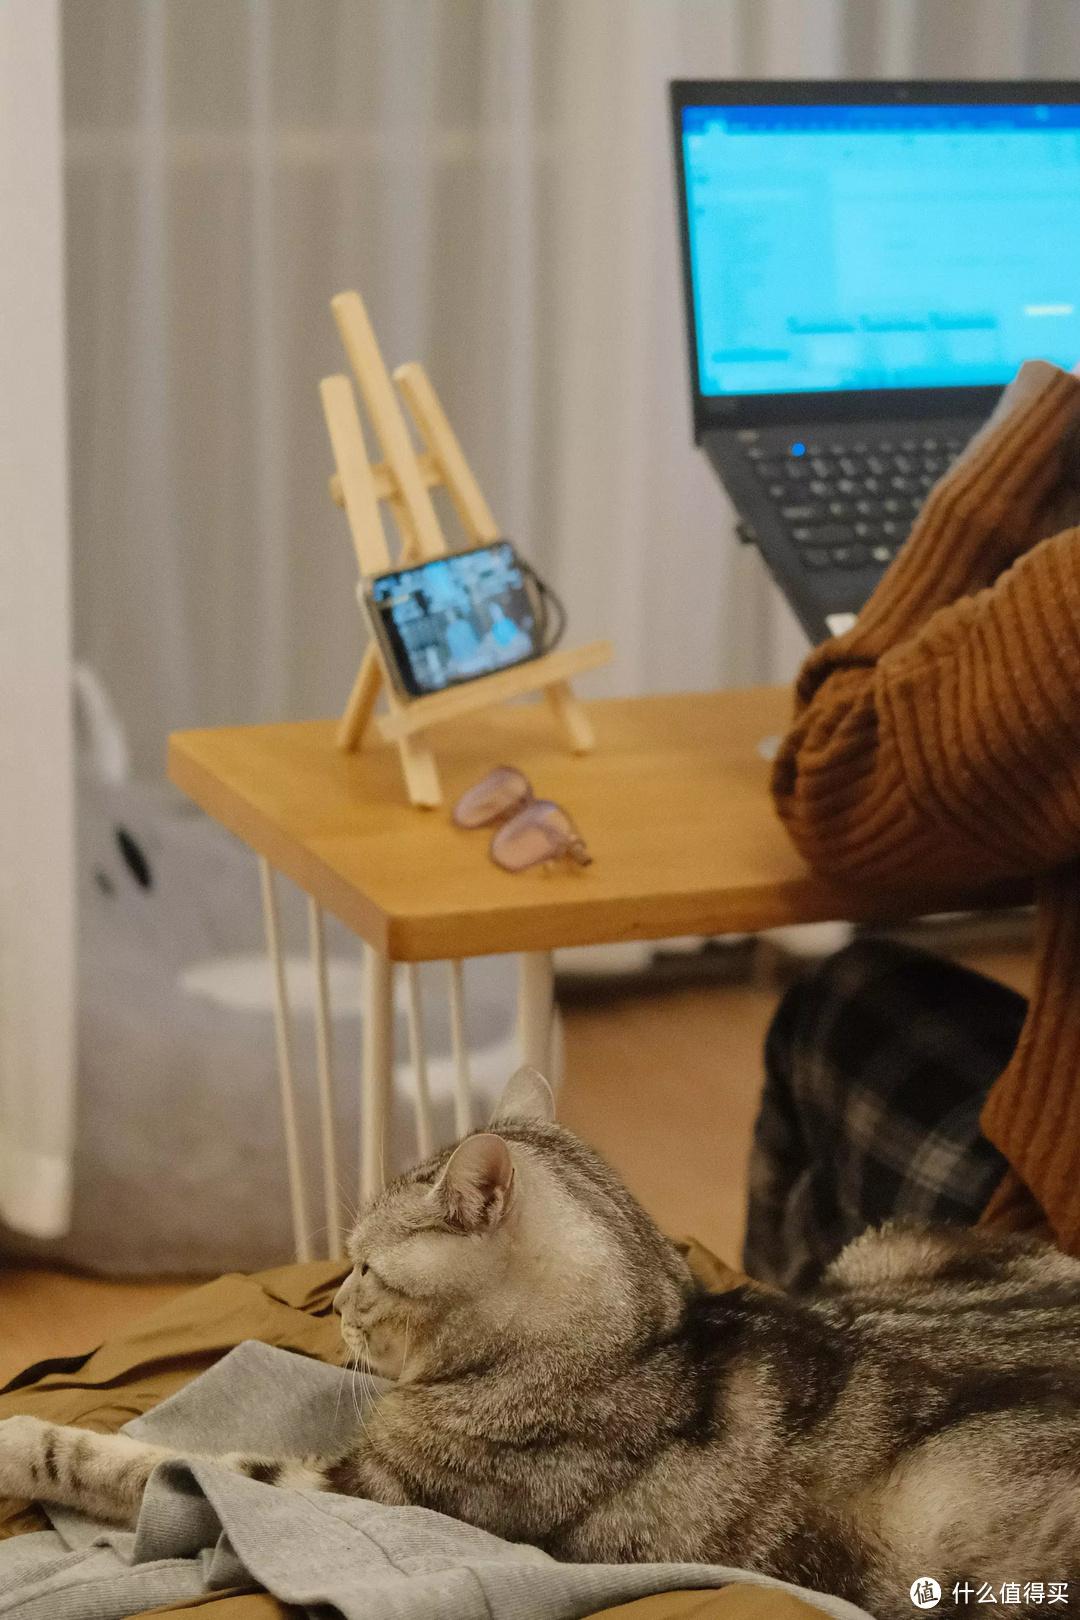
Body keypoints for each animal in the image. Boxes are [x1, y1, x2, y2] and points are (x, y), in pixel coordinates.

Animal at [3, 1064, 1080, 1620]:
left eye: (366, 1268)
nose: (335, 1301)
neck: (645, 1339)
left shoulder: (363, 1493)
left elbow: (151, 1461)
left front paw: (24, 1440)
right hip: (892, 1246)